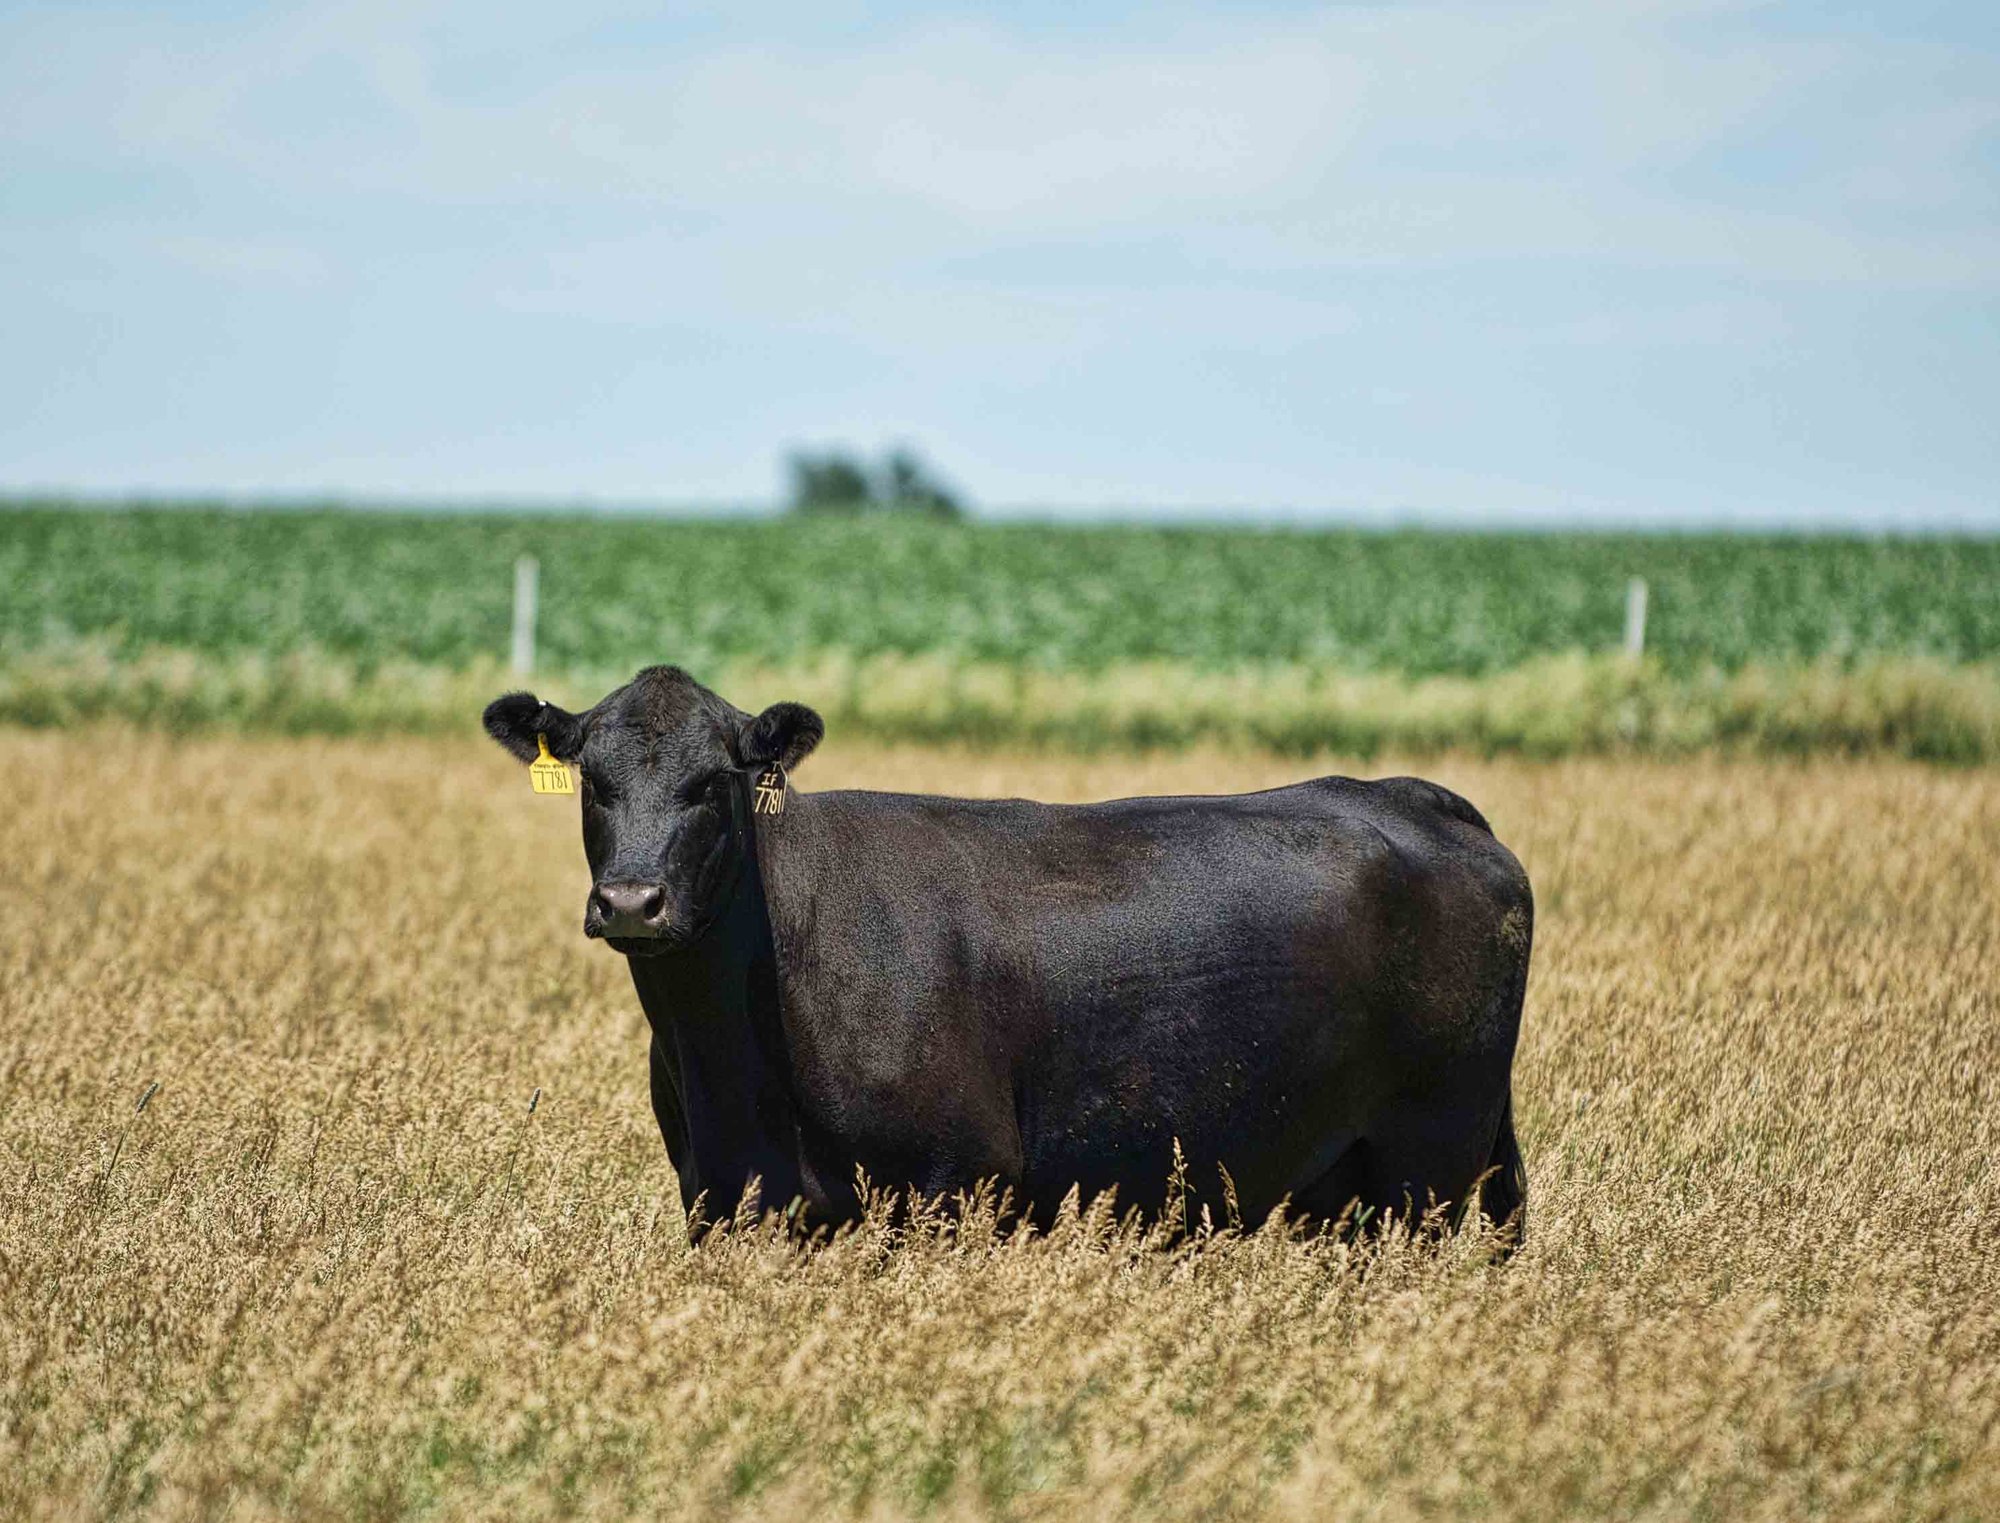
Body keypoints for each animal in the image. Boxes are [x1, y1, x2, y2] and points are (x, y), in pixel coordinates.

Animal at [485, 665, 1531, 1242]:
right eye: (594, 780)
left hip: (1430, 1160)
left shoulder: (957, 1180)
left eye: (711, 782)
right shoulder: (720, 1192)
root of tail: (1413, 795)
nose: (632, 900)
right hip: (1342, 1182)